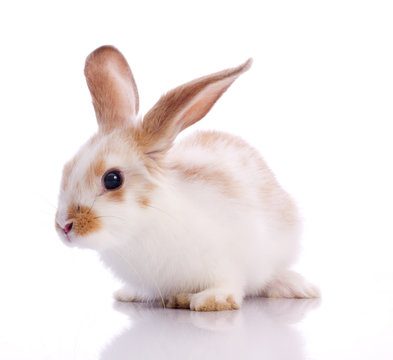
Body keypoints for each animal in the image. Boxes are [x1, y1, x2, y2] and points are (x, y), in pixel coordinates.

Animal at [55, 44, 318, 310]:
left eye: (112, 179)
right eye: (66, 169)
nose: (64, 226)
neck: (145, 224)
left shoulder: (228, 259)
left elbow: (228, 283)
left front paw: (211, 300)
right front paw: (131, 294)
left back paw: (298, 287)